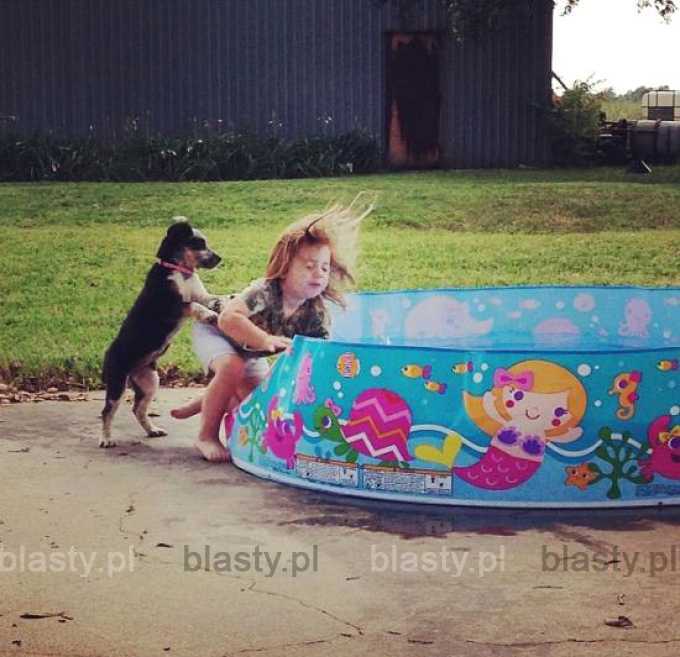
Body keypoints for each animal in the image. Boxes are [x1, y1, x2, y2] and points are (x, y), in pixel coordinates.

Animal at [101, 218, 224, 448]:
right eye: (199, 243)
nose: (219, 258)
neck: (180, 270)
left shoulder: (199, 293)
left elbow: (208, 297)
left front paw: (221, 303)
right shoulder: (171, 306)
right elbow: (192, 305)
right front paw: (209, 315)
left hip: (149, 381)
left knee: (138, 409)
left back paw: (152, 430)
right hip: (117, 383)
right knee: (107, 412)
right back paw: (106, 439)